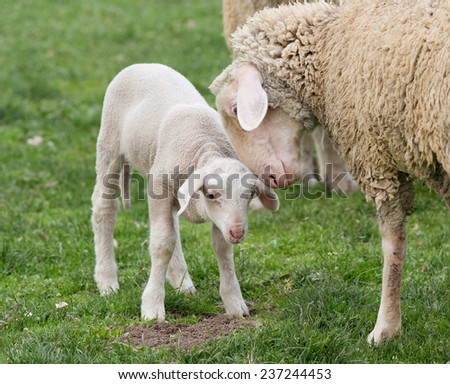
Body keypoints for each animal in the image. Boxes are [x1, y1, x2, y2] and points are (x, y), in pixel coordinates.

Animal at [91, 63, 278, 320]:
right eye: (211, 194)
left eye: (249, 195)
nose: (238, 232)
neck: (205, 148)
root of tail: (143, 64)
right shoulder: (159, 188)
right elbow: (162, 245)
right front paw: (152, 307)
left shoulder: (219, 218)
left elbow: (222, 250)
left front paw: (234, 303)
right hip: (109, 143)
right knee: (104, 207)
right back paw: (107, 281)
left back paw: (182, 282)